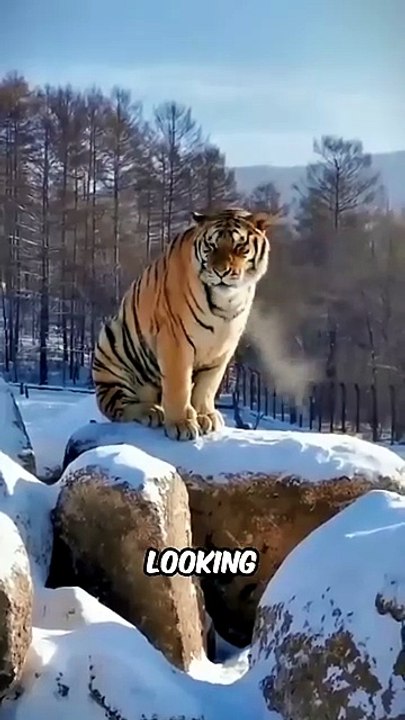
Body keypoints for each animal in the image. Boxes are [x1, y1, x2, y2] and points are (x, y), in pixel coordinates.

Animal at [92, 207, 272, 441]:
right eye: (211, 246)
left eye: (240, 246)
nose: (221, 272)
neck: (227, 301)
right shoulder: (175, 337)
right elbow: (179, 384)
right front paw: (182, 424)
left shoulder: (224, 346)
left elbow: (208, 385)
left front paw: (206, 416)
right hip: (110, 344)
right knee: (117, 405)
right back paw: (151, 411)